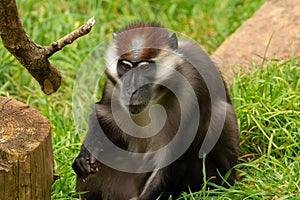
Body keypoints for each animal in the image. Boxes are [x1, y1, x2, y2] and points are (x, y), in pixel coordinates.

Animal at [72, 22, 239, 200]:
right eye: (125, 66)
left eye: (145, 68)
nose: (131, 89)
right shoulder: (113, 86)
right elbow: (103, 116)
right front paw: (85, 157)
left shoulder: (193, 88)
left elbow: (173, 159)